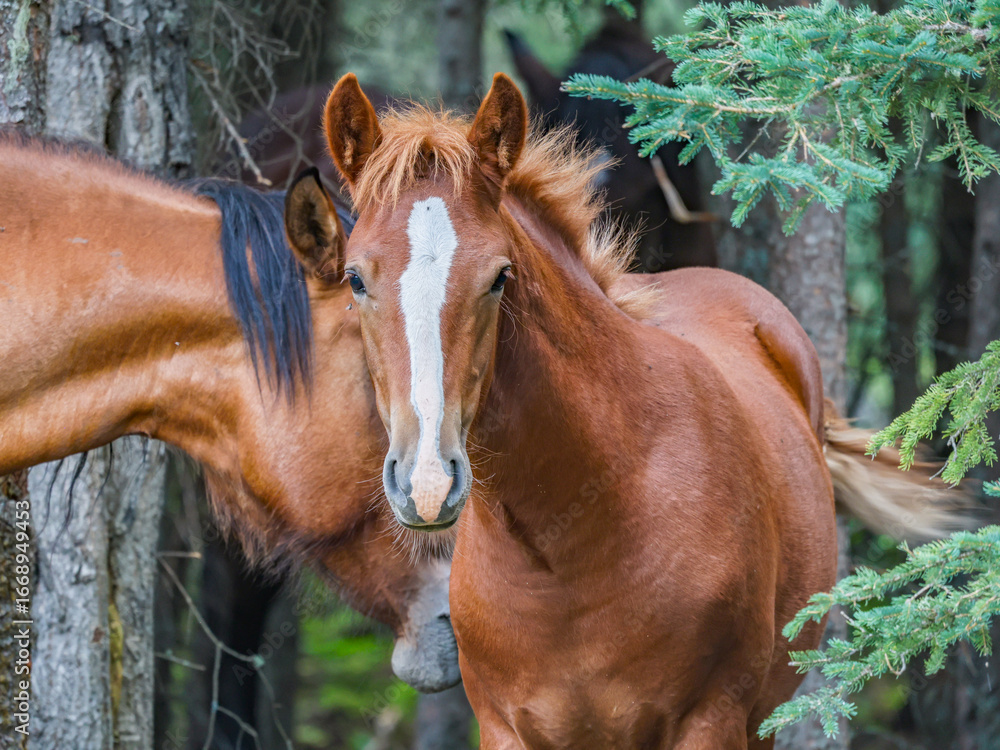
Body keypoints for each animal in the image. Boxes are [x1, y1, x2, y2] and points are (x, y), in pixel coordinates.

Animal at [288, 73, 964, 748]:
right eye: (355, 279)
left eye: (500, 277)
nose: (426, 484)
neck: (568, 550)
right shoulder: (503, 728)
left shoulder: (710, 721)